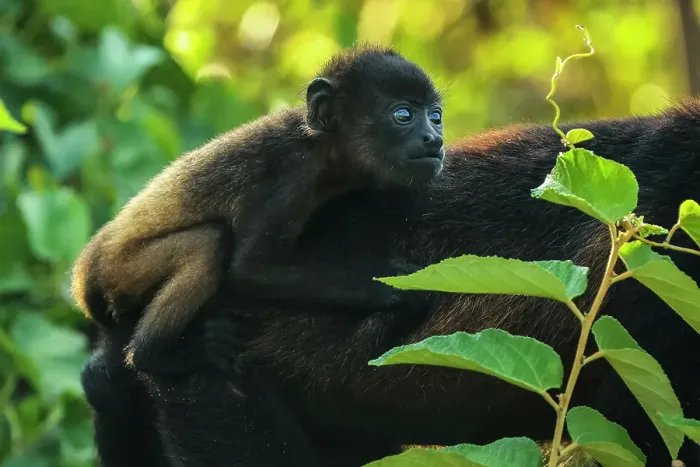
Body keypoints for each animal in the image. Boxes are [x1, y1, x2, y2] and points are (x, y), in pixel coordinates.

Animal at [70, 45, 446, 373]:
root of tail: (85, 273)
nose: (435, 139)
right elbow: (249, 267)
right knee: (210, 242)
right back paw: (156, 355)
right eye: (403, 115)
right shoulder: (289, 177)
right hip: (122, 273)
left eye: (436, 117)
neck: (324, 150)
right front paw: (396, 287)